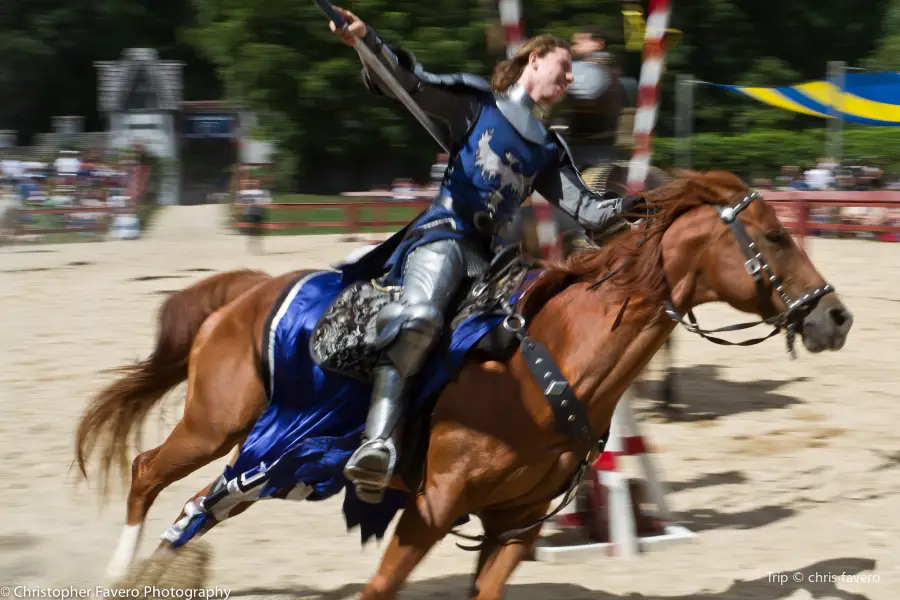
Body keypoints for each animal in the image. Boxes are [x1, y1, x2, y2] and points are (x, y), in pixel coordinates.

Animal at [75, 170, 852, 600]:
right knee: (149, 474)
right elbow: (379, 587)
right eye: (776, 237)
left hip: (260, 458)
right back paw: (119, 575)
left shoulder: (514, 525)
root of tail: (246, 291)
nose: (836, 316)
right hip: (221, 429)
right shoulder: (431, 507)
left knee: (193, 507)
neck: (545, 369)